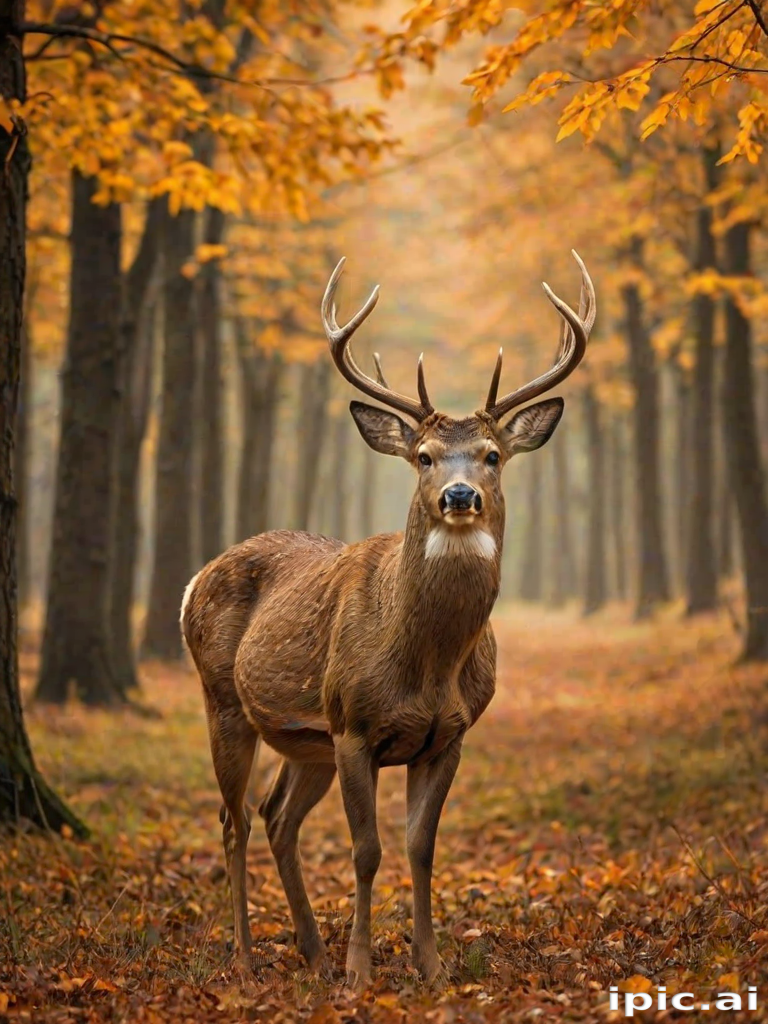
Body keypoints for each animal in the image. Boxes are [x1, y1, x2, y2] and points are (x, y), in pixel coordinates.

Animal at [180, 251, 595, 989]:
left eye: (492, 454)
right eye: (423, 457)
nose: (459, 494)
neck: (425, 664)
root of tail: (195, 579)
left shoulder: (449, 735)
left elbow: (421, 846)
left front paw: (431, 968)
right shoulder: (353, 724)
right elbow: (367, 849)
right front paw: (361, 972)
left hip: (305, 737)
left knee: (277, 817)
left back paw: (311, 954)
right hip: (225, 698)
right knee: (234, 819)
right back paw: (248, 960)